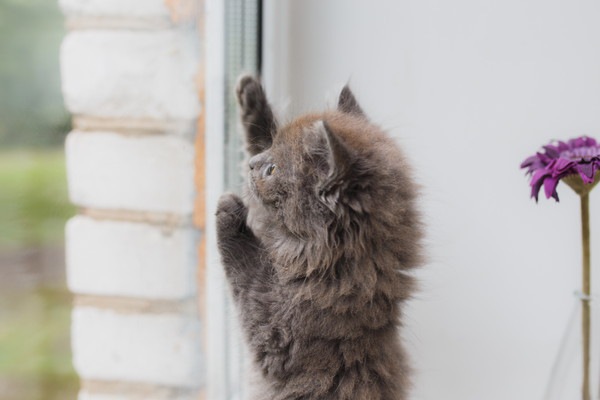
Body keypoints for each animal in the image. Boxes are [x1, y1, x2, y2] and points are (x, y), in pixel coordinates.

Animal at [216, 76, 422, 398]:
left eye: (272, 169)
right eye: (270, 148)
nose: (253, 164)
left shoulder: (274, 330)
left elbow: (244, 272)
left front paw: (228, 210)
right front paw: (251, 96)